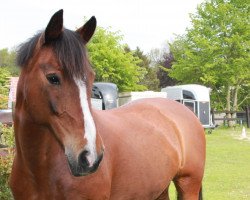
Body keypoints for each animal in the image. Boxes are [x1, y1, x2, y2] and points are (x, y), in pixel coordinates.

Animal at [9, 9, 205, 200]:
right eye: (53, 78)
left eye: (91, 77)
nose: (90, 157)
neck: (38, 169)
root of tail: (186, 112)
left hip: (188, 185)